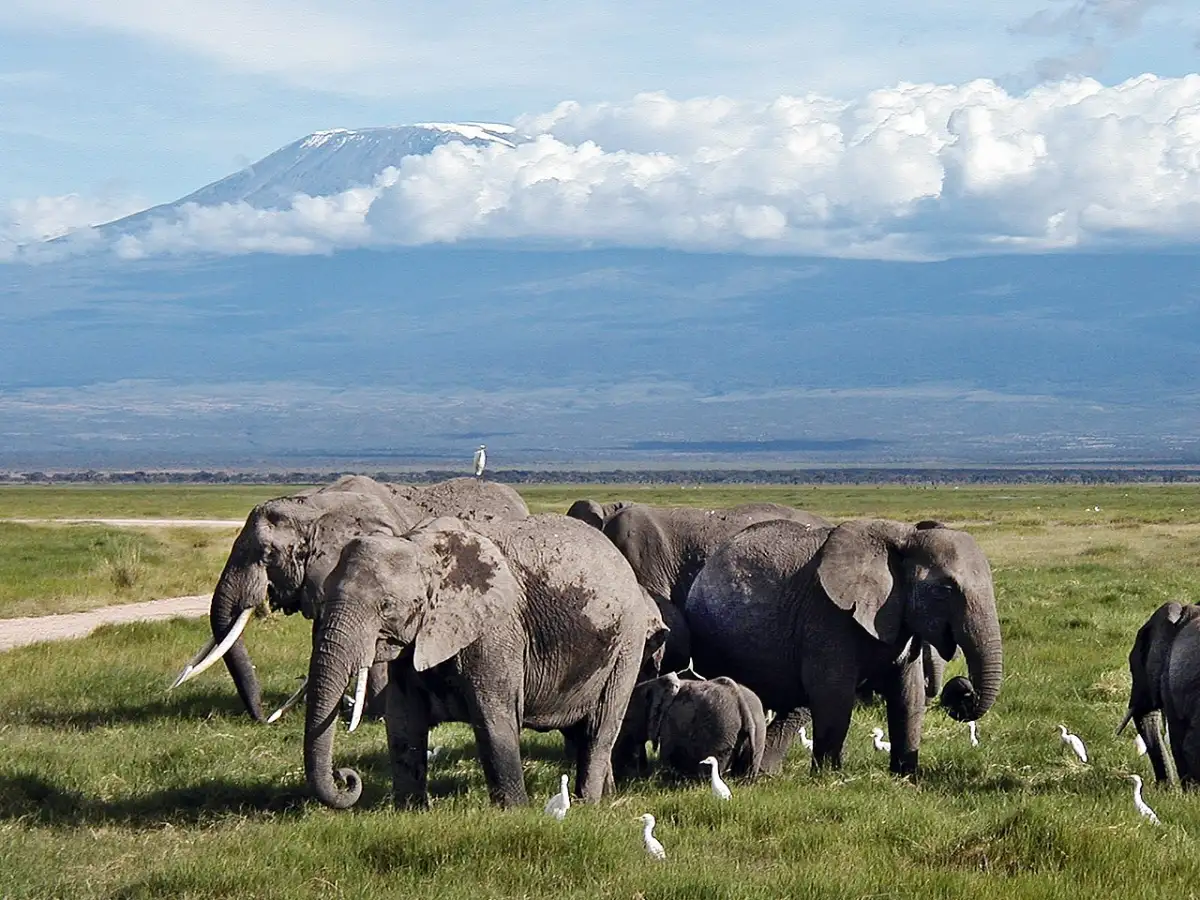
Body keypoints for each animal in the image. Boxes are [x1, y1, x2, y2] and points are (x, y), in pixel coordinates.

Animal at [304, 513, 667, 810]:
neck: (421, 547)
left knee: (599, 729)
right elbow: (403, 722)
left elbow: (493, 719)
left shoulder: (496, 631)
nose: (346, 777)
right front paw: (410, 812)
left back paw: (587, 804)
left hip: (626, 645)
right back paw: (606, 798)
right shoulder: (414, 645)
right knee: (579, 733)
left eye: (386, 606)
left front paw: (515, 812)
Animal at [613, 672, 766, 780]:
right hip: (757, 732)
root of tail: (740, 700)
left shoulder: (669, 722)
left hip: (721, 733)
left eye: (626, 720)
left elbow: (667, 755)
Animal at [684, 517, 1003, 776]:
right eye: (944, 590)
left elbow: (908, 694)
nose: (962, 690)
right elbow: (834, 694)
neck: (904, 536)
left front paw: (906, 776)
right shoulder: (827, 615)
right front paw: (828, 777)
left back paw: (762, 773)